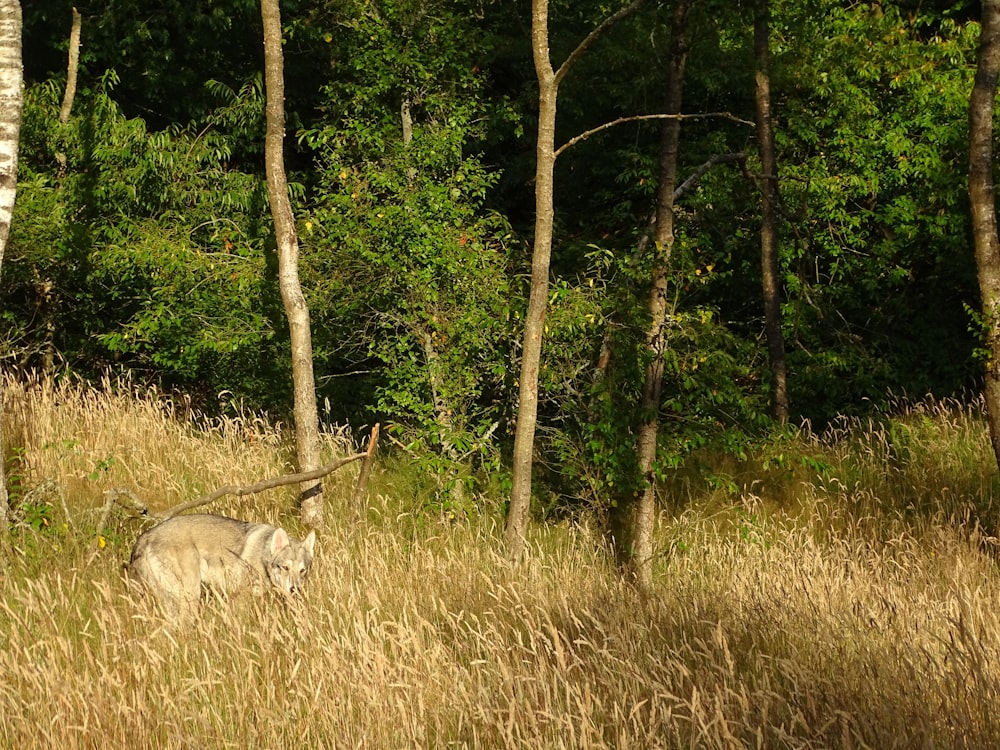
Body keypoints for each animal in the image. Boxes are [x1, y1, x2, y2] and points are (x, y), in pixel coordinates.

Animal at [127, 516, 316, 624]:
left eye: (303, 571)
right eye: (285, 568)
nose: (295, 589)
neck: (263, 556)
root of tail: (146, 536)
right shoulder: (239, 598)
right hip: (191, 595)